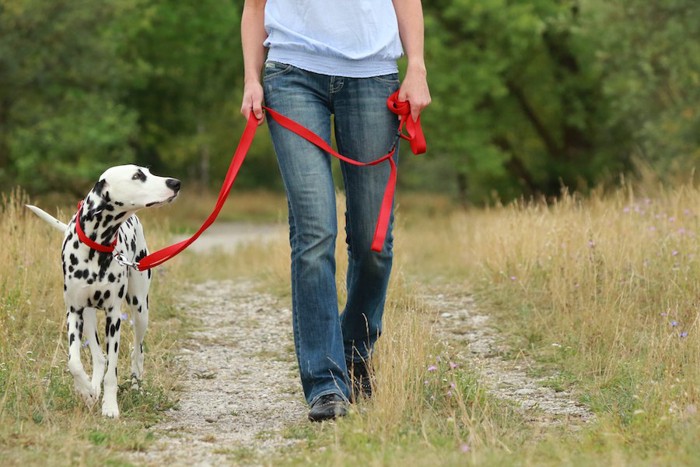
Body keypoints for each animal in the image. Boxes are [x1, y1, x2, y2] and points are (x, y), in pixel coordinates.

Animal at [27, 165, 180, 420]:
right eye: (137, 176)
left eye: (147, 171)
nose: (175, 183)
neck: (96, 246)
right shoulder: (74, 312)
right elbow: (74, 363)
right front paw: (86, 391)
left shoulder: (114, 316)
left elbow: (112, 372)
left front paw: (109, 406)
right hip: (88, 317)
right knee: (99, 357)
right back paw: (92, 388)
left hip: (140, 309)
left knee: (137, 351)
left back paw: (136, 386)